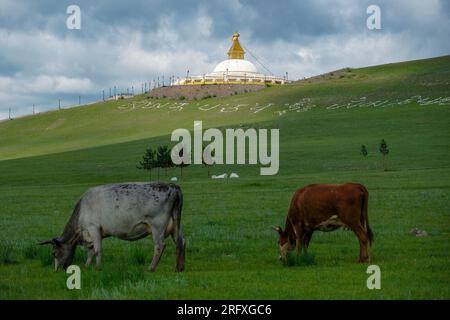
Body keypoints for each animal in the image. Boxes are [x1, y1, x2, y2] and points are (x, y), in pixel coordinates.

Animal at [39, 182, 186, 272]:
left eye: (54, 253)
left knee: (160, 245)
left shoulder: (93, 228)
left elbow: (97, 250)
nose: (57, 270)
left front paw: (98, 268)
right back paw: (179, 268)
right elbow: (91, 251)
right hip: (175, 225)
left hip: (157, 226)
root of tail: (172, 186)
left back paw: (151, 268)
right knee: (181, 241)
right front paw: (87, 266)